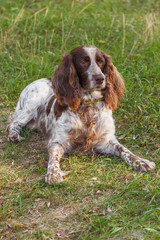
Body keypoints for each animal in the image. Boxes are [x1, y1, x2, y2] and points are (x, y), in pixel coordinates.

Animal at [7, 45, 155, 184]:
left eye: (101, 61)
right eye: (83, 62)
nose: (100, 78)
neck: (88, 106)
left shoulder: (106, 140)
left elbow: (125, 150)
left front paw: (141, 161)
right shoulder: (58, 141)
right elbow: (53, 158)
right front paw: (53, 173)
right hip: (31, 105)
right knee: (14, 122)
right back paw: (14, 136)